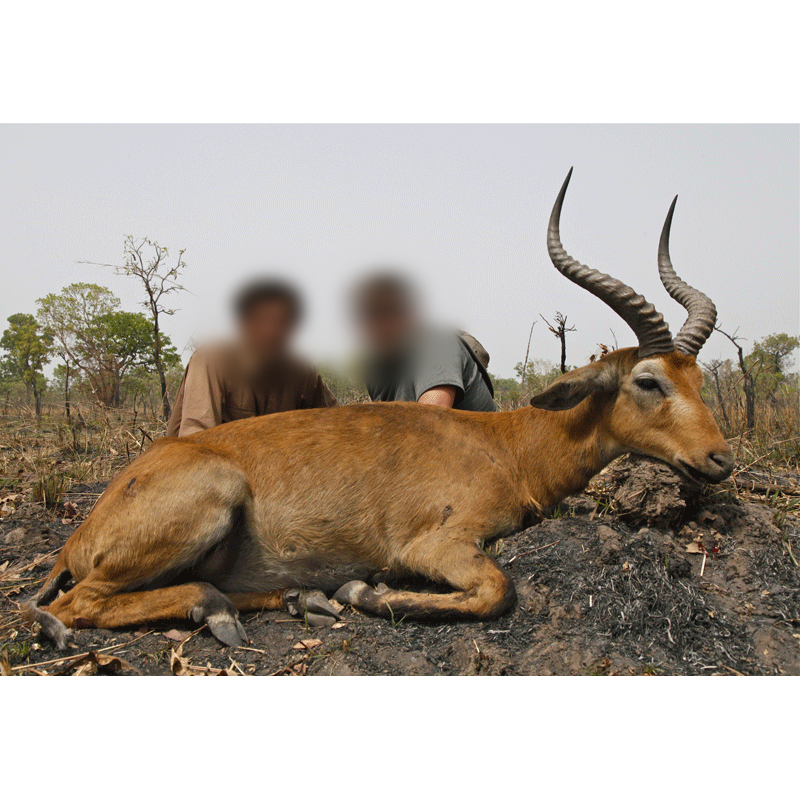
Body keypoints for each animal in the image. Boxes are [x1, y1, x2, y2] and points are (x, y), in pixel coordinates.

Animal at [28, 172, 736, 648]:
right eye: (648, 380)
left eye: (698, 378)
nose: (719, 460)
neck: (506, 445)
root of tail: (83, 529)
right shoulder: (438, 544)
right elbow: (496, 590)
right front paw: (361, 590)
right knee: (80, 604)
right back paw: (231, 608)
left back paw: (300, 599)